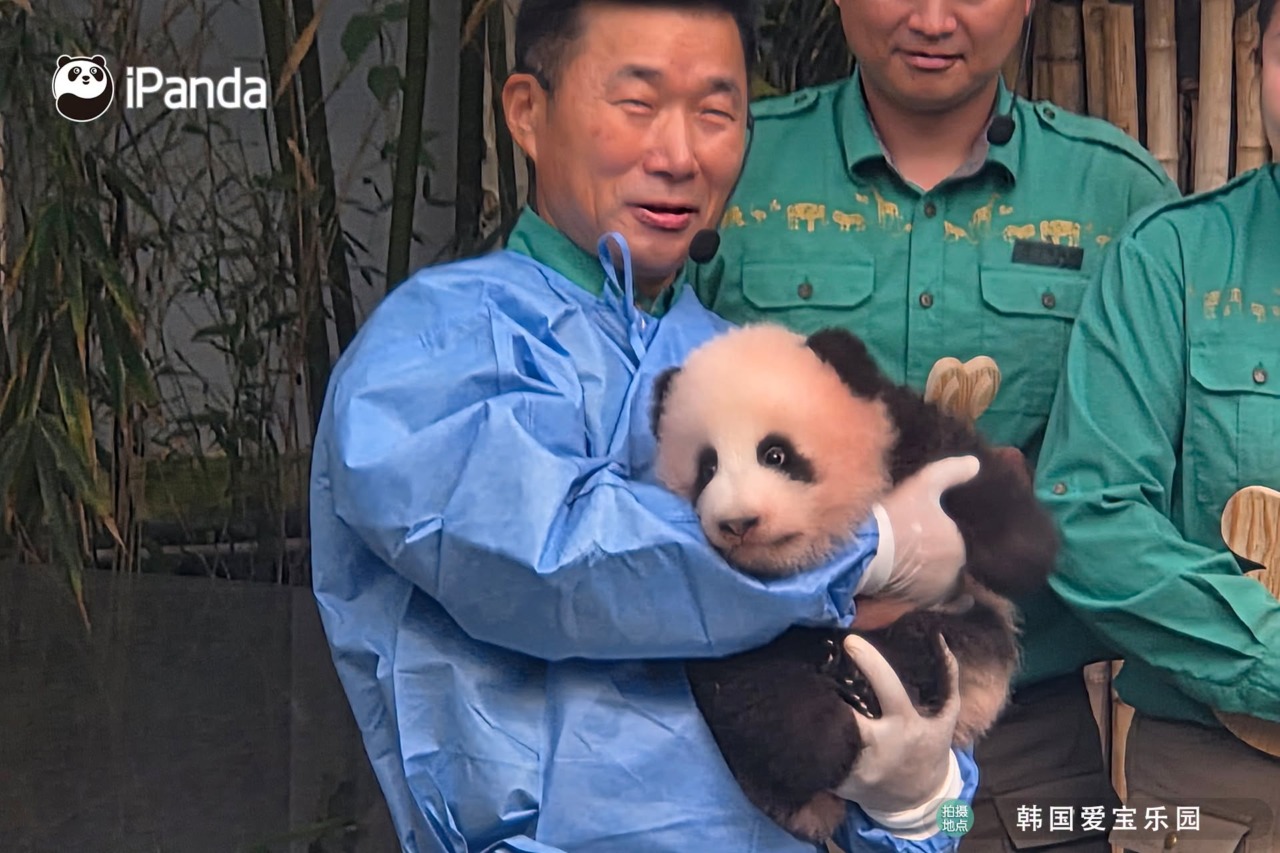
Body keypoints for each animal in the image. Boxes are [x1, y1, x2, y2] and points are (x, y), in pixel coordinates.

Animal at [648, 323, 1059, 843]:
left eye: (775, 453)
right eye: (707, 468)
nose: (738, 523)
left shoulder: (905, 437)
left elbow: (969, 475)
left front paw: (1024, 552)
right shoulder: (730, 612)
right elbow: (744, 676)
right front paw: (825, 743)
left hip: (969, 632)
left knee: (944, 641)